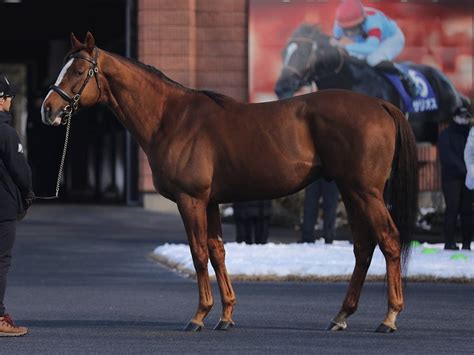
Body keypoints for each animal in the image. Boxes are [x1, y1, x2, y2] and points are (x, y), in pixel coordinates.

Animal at [41, 33, 418, 334]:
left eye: (78, 71)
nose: (48, 109)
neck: (170, 118)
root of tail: (381, 104)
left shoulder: (191, 199)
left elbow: (198, 253)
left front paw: (199, 316)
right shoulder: (210, 202)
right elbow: (218, 251)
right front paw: (226, 316)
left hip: (364, 191)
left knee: (388, 240)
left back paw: (389, 317)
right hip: (350, 190)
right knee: (363, 247)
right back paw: (341, 315)